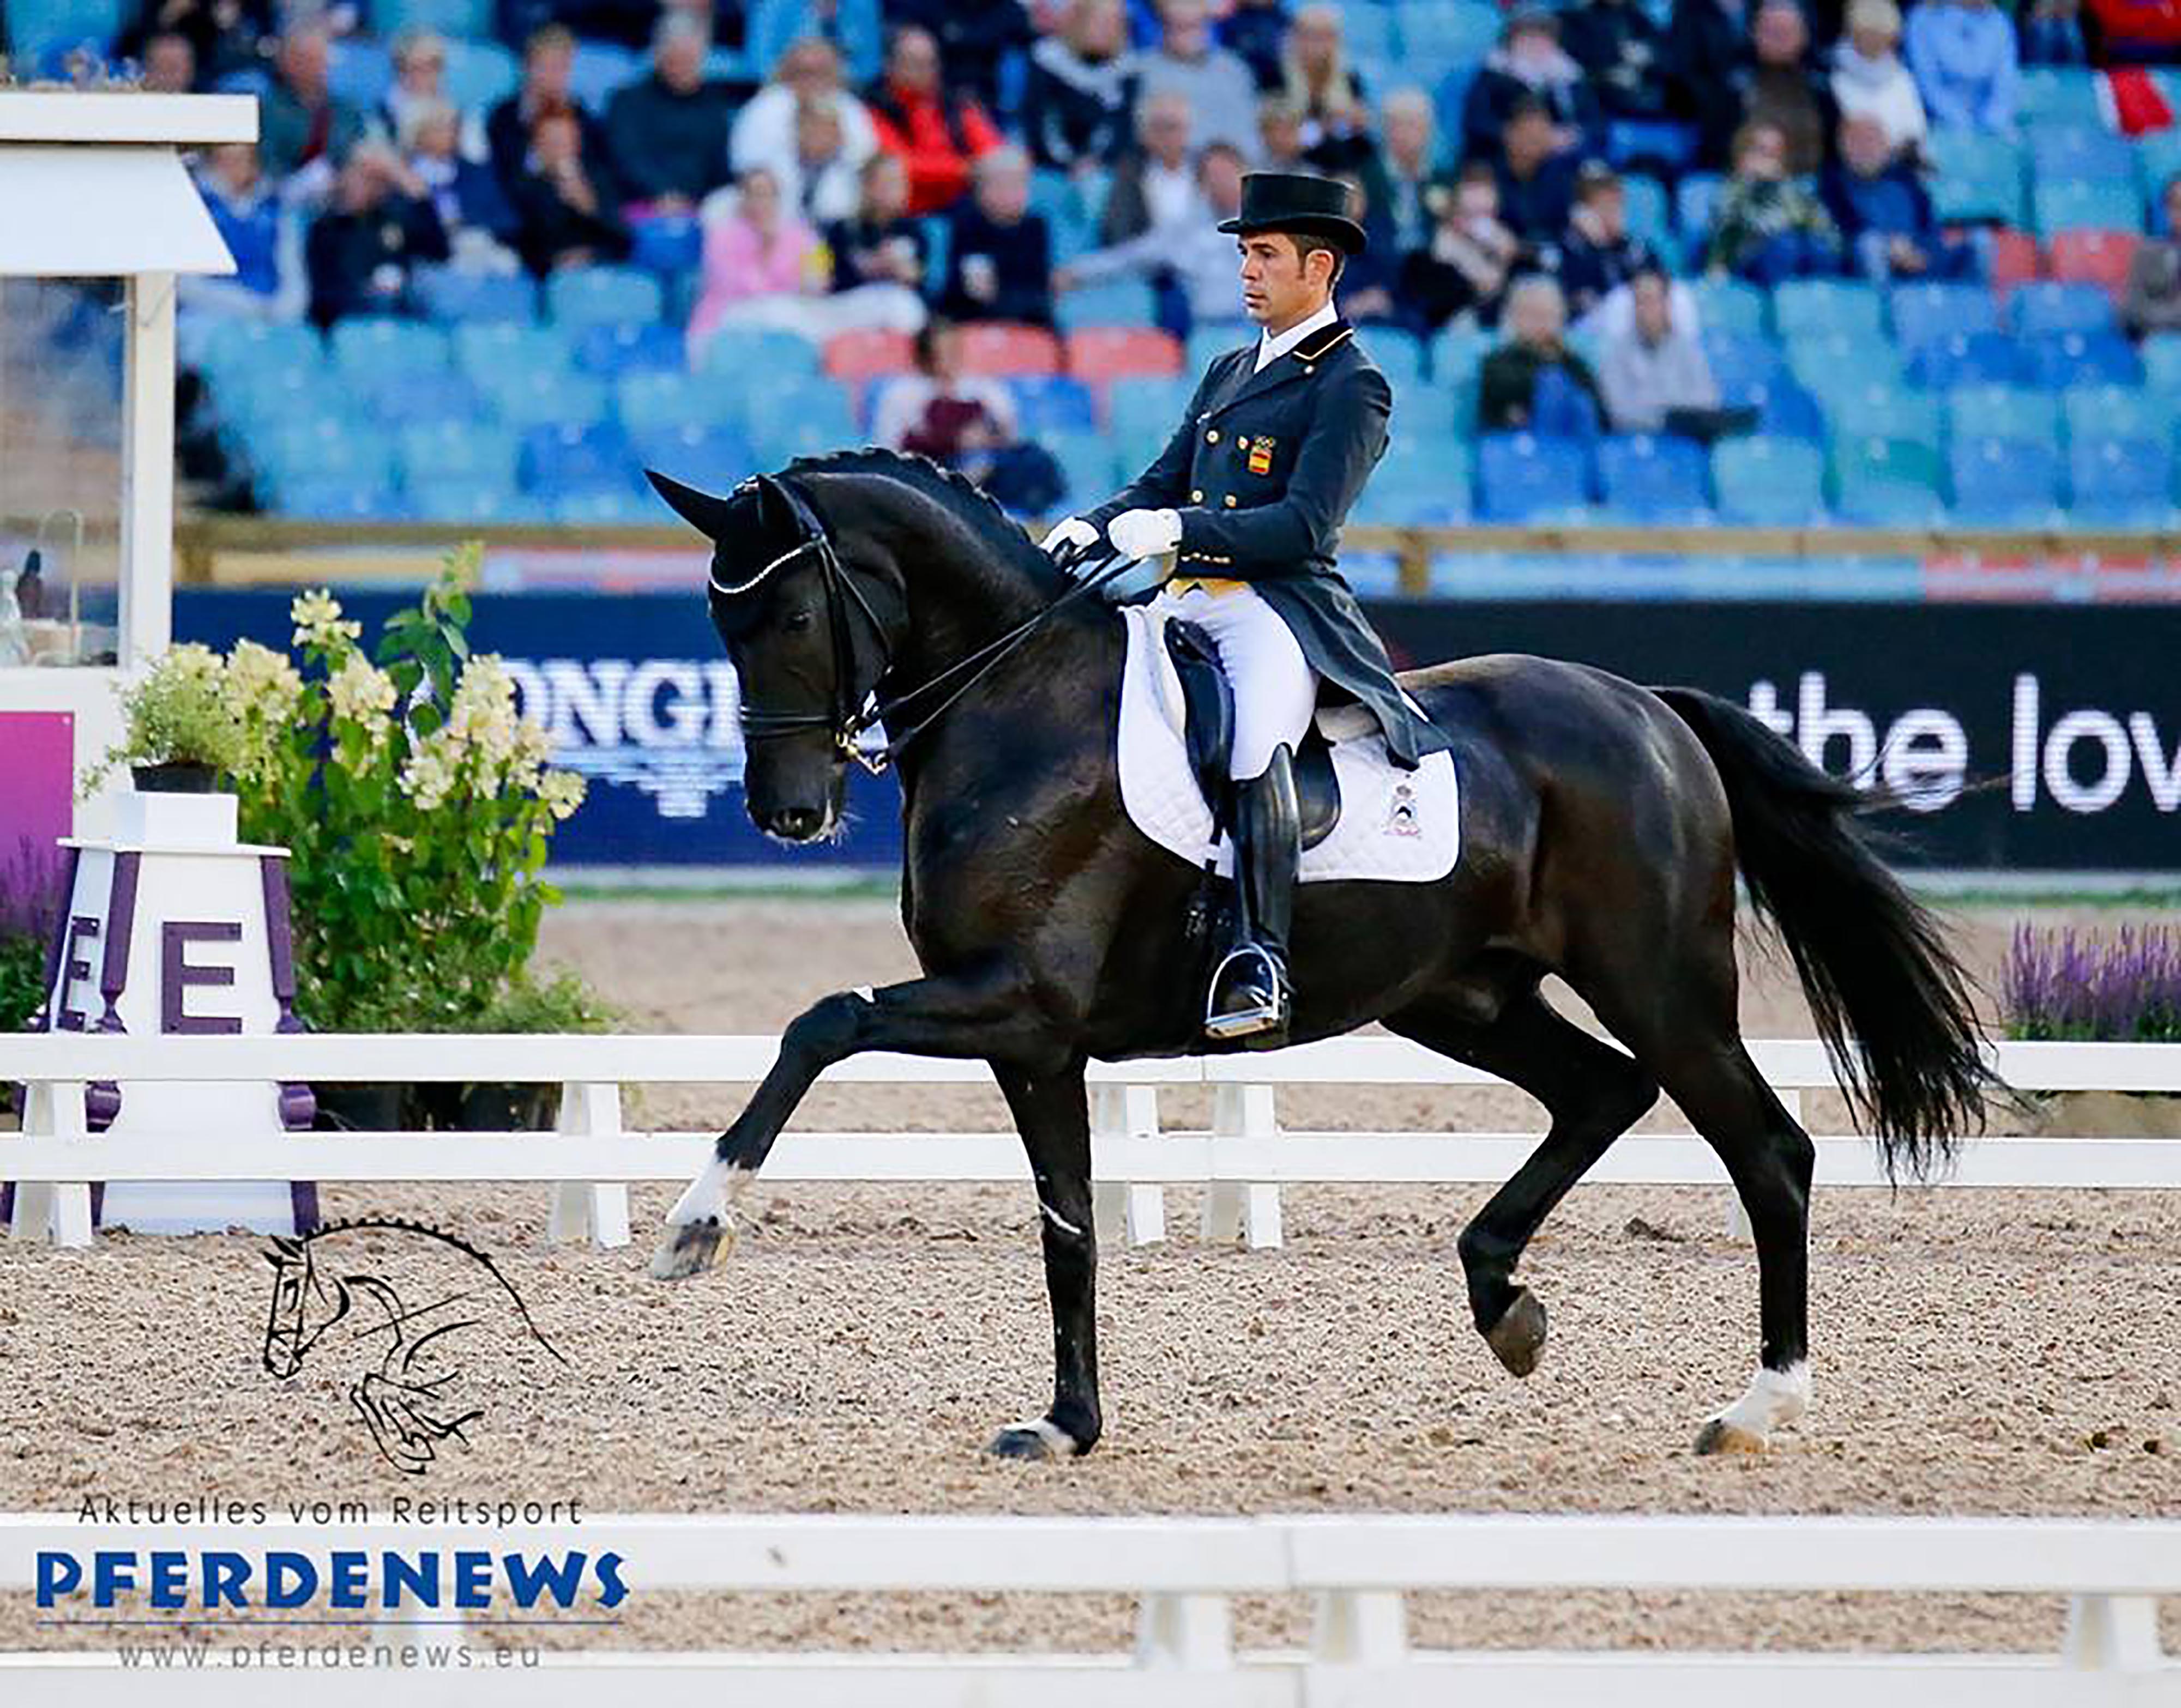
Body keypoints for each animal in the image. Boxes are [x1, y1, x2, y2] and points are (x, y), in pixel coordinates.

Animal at [641, 451, 1998, 1457]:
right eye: (717, 617)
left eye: (793, 612)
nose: (787, 813)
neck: (1017, 704)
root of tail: (1648, 710)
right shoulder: (1036, 1043)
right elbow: (1066, 1226)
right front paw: (1068, 1424)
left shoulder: (1015, 1001)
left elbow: (820, 1019)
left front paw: (697, 1224)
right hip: (1461, 996)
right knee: (1600, 1092)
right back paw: (1503, 1304)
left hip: (1660, 985)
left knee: (1764, 1150)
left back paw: (1756, 1405)